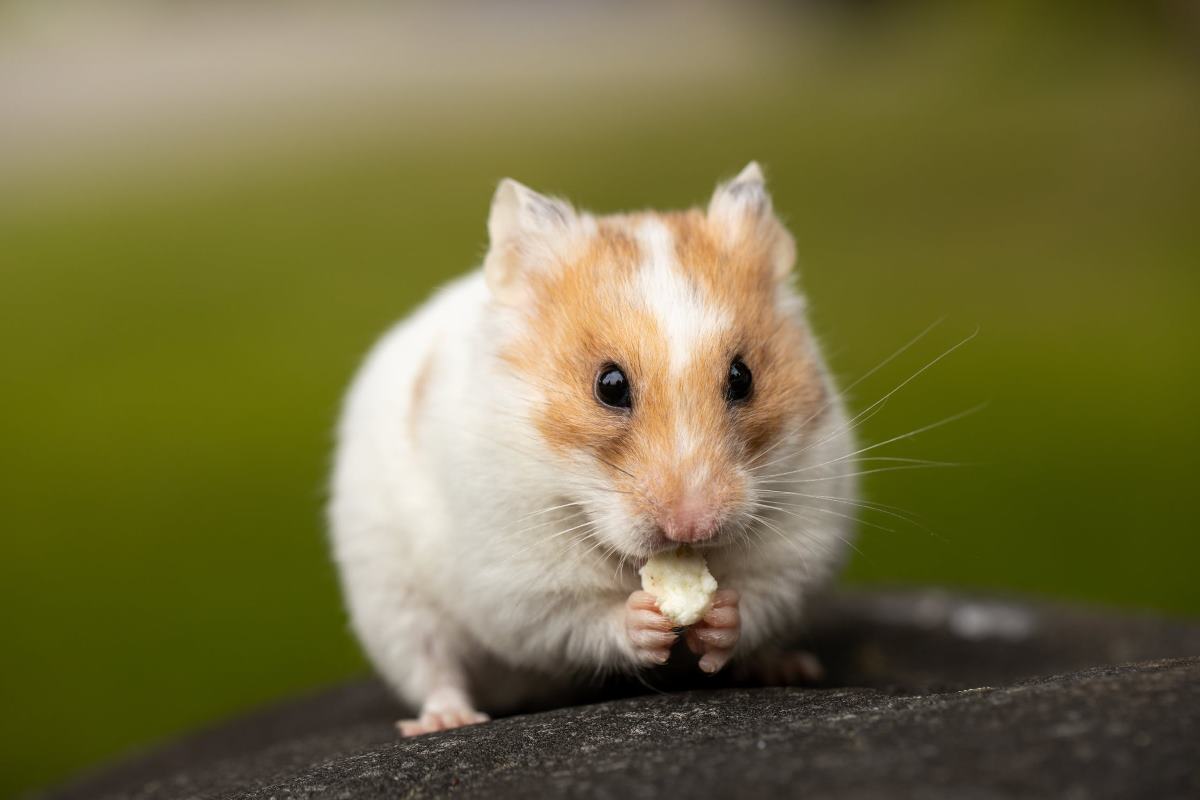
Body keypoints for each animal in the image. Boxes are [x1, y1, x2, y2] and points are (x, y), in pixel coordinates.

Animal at [328, 163, 855, 735]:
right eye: (610, 385)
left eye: (743, 377)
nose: (692, 528)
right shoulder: (518, 581)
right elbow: (580, 619)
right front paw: (645, 620)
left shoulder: (800, 538)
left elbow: (759, 597)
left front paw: (717, 618)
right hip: (391, 598)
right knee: (432, 665)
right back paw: (447, 720)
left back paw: (789, 667)